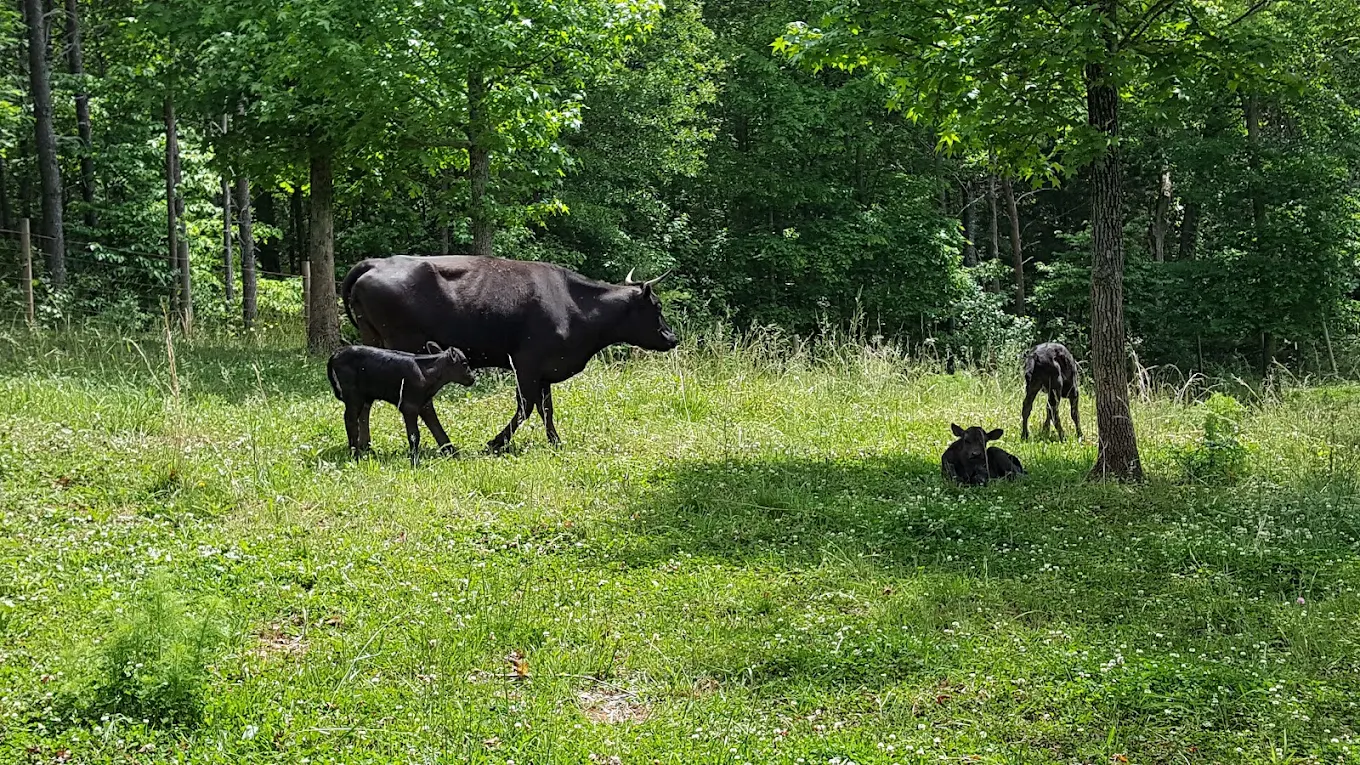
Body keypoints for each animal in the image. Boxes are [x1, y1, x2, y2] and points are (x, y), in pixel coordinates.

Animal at [327, 342, 476, 466]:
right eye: (464, 363)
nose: (472, 379)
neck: (427, 373)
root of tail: (337, 353)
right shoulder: (409, 406)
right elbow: (414, 435)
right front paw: (415, 461)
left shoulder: (425, 404)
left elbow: (437, 428)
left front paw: (453, 453)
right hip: (353, 395)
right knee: (350, 419)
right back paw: (355, 454)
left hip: (365, 395)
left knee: (363, 416)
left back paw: (366, 449)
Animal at [340, 255, 679, 452]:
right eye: (657, 306)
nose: (672, 337)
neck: (573, 304)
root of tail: (376, 262)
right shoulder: (526, 363)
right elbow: (526, 406)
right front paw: (495, 443)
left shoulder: (545, 369)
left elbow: (546, 408)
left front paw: (555, 442)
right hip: (407, 346)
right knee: (422, 402)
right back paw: (445, 445)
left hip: (373, 341)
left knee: (367, 394)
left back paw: (365, 446)